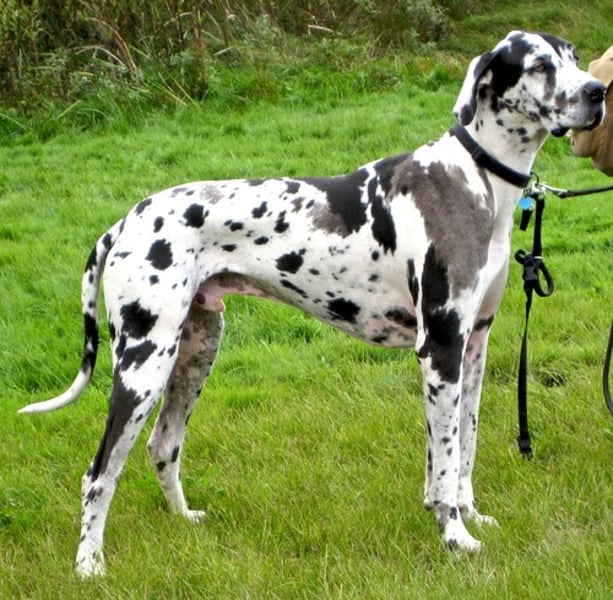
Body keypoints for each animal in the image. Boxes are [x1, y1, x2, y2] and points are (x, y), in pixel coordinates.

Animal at [19, 32, 604, 576]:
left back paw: (184, 521)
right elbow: (443, 459)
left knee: (162, 447)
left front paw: (470, 515)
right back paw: (89, 565)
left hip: (195, 350)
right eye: (539, 65)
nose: (598, 91)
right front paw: (455, 537)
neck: (475, 176)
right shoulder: (440, 347)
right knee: (99, 473)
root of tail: (125, 221)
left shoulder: (474, 342)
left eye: (574, 57)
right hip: (144, 363)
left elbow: (465, 449)